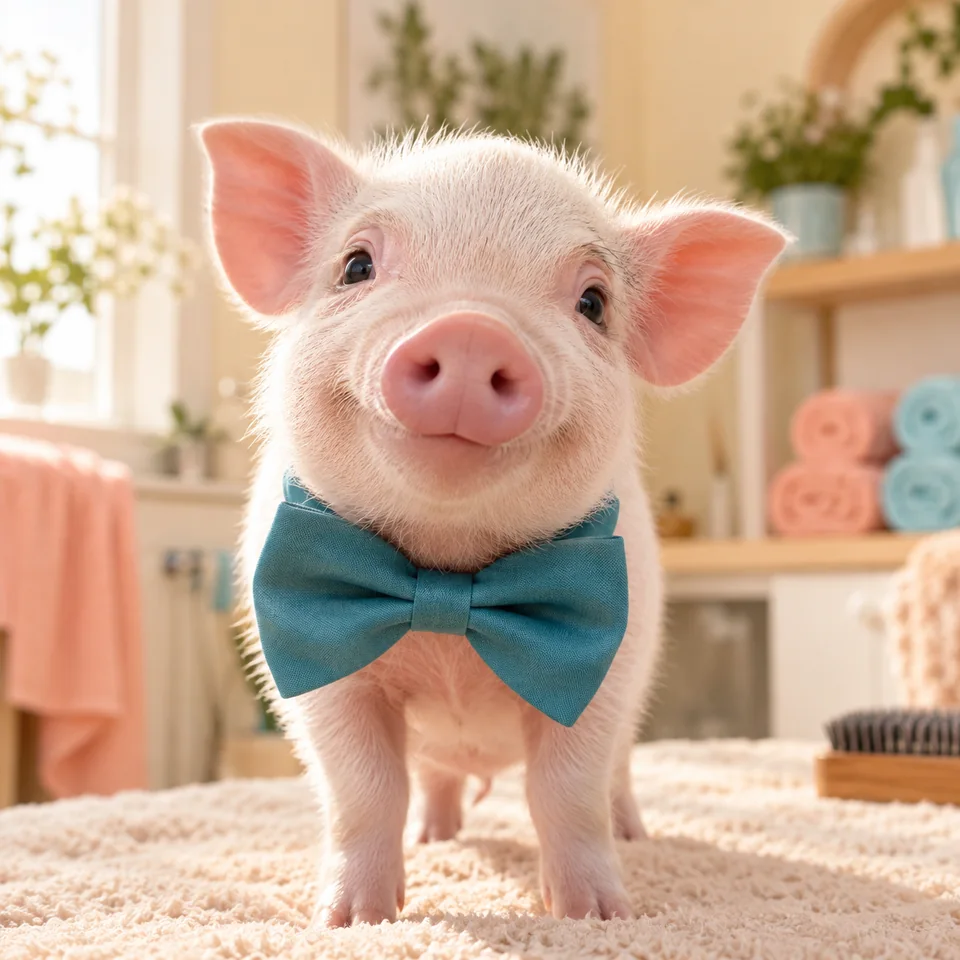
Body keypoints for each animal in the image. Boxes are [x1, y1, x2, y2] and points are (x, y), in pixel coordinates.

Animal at [198, 119, 786, 928]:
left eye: (594, 302)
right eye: (356, 265)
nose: (473, 331)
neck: (447, 581)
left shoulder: (607, 665)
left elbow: (566, 789)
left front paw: (597, 917)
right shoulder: (316, 666)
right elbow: (363, 787)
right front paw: (352, 921)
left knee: (617, 775)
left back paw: (633, 835)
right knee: (434, 779)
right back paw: (437, 835)